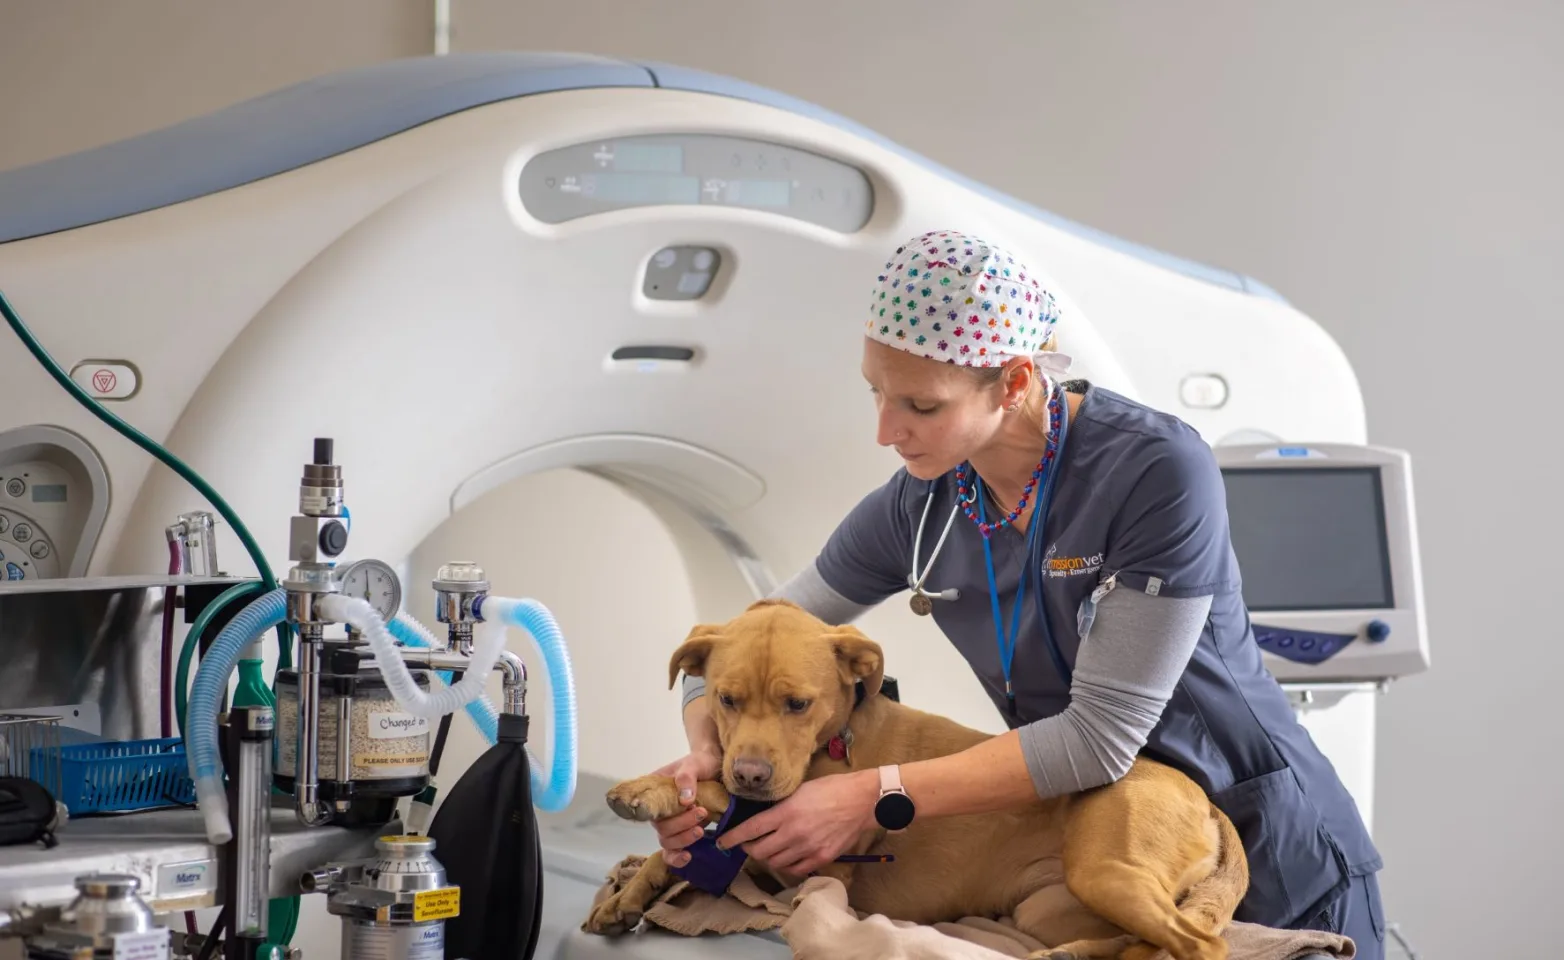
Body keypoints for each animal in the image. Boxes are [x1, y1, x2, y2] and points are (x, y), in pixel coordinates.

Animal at [581, 597, 1251, 956]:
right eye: (725, 699)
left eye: (797, 704)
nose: (751, 772)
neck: (836, 738)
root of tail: (1207, 801)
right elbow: (678, 849)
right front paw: (630, 894)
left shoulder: (801, 847)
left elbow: (716, 795)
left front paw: (647, 789)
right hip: (1051, 908)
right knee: (1149, 939)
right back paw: (1074, 956)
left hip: (1104, 870)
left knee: (1200, 943)